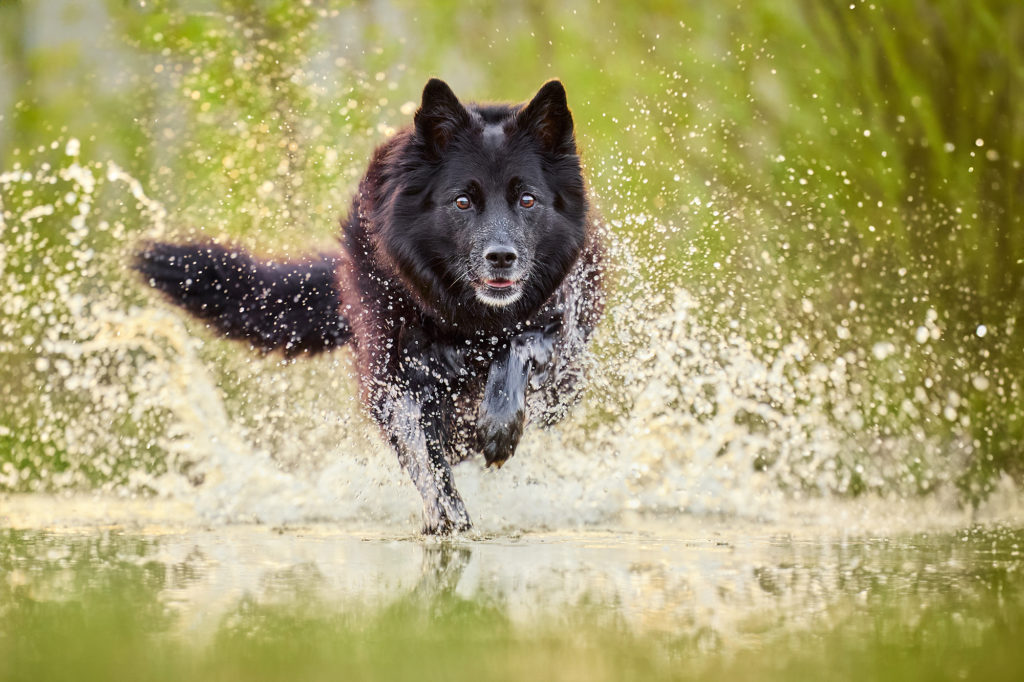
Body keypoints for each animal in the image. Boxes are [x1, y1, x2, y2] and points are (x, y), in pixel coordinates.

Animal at [135, 76, 598, 528]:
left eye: (527, 199)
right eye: (463, 201)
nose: (501, 257)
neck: (466, 321)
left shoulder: (553, 329)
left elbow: (519, 347)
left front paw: (499, 426)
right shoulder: (393, 376)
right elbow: (420, 449)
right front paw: (445, 516)